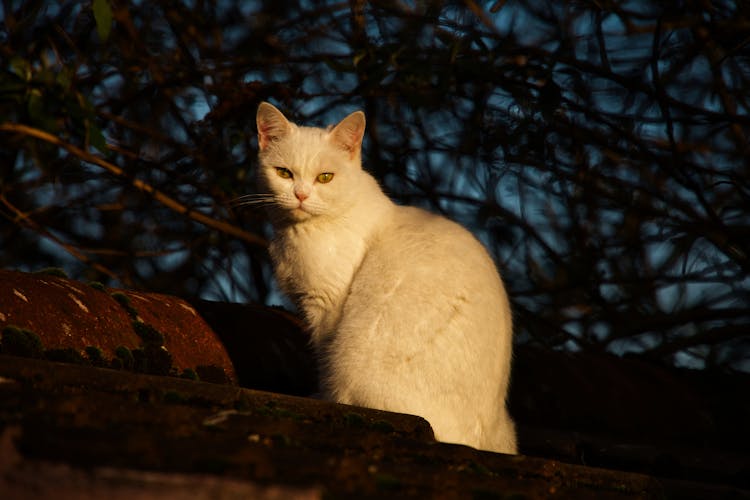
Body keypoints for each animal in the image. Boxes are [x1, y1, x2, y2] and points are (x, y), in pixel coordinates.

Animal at [253, 101, 516, 454]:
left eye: (325, 177)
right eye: (284, 173)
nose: (301, 195)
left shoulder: (327, 308)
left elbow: (323, 356)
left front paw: (323, 397)